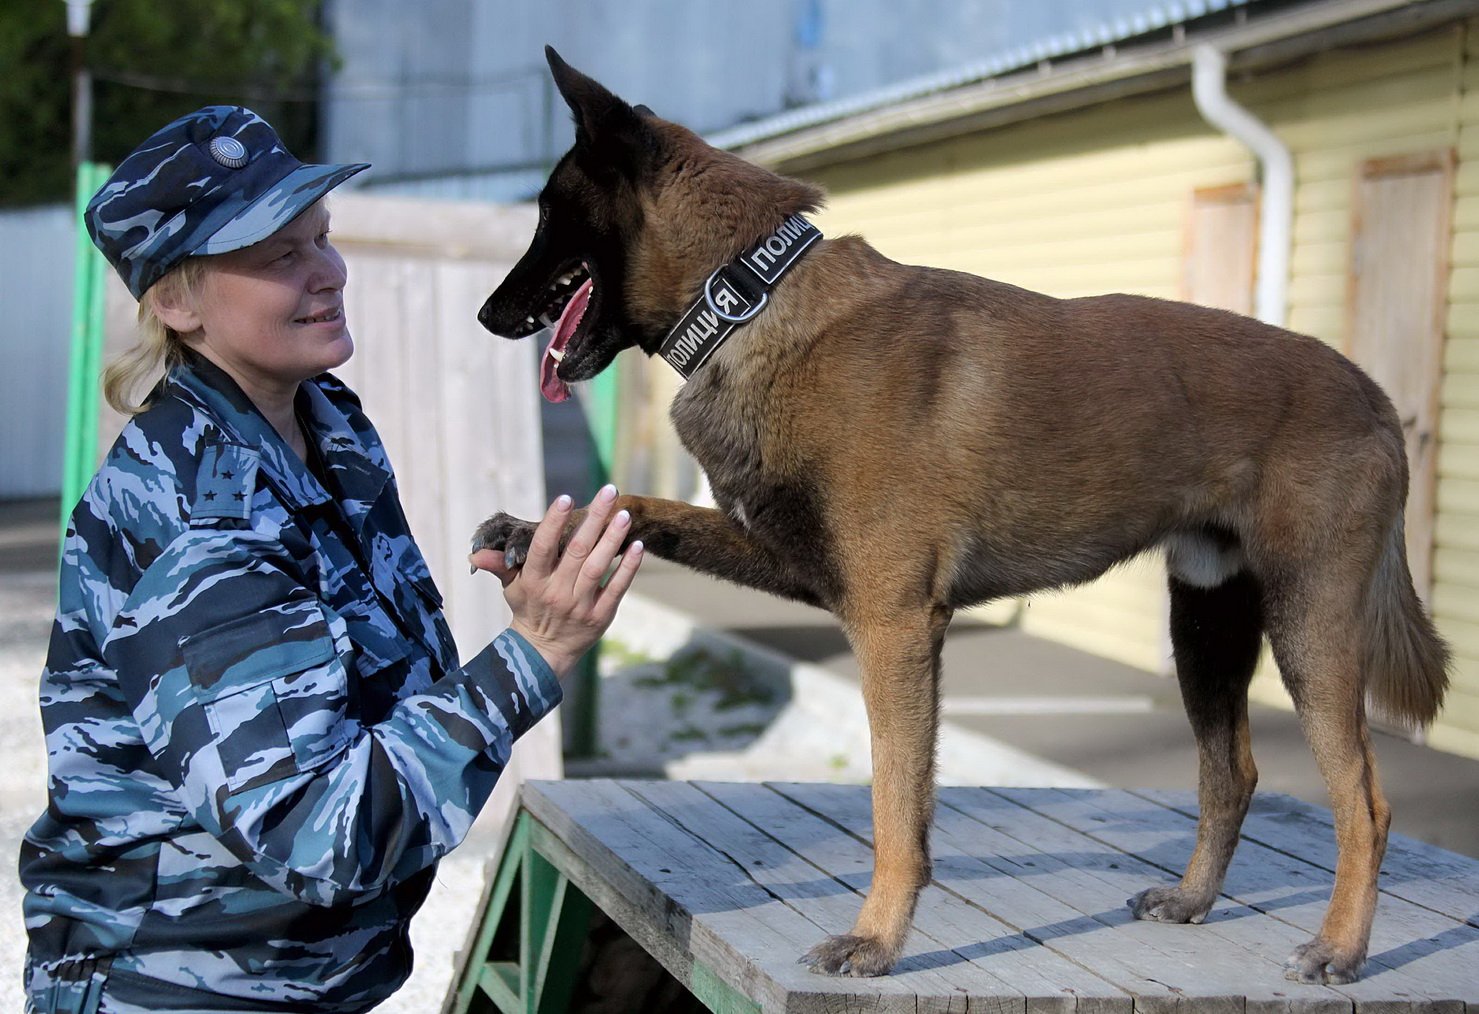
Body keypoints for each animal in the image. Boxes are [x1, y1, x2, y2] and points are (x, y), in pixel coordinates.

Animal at [470, 47, 1443, 987]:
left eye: (549, 211)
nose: (485, 313)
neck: (749, 298)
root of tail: (1371, 392)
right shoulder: (792, 560)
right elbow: (642, 508)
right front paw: (532, 530)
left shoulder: (894, 625)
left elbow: (895, 806)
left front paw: (874, 941)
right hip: (1205, 625)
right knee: (1230, 773)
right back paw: (1194, 899)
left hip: (1308, 626)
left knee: (1366, 806)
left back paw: (1340, 950)